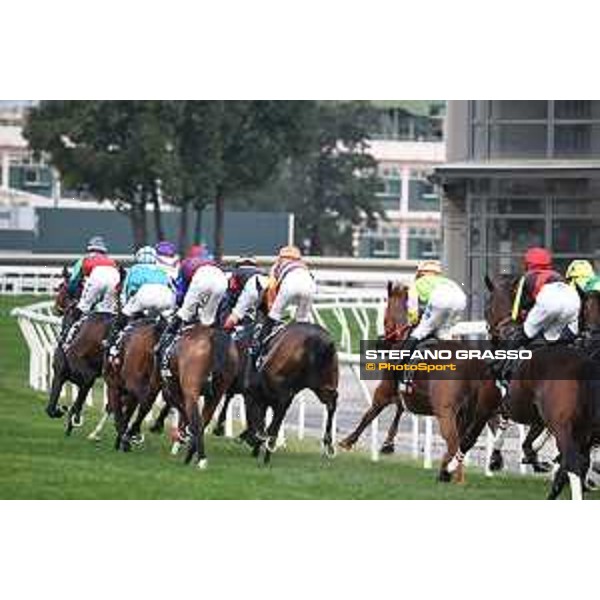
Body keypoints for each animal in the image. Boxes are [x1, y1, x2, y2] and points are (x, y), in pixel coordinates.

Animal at [159, 324, 239, 468]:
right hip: (216, 394)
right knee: (204, 421)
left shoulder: (171, 389)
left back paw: (200, 457)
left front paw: (182, 435)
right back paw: (192, 454)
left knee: (196, 420)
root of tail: (213, 337)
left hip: (191, 390)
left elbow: (183, 412)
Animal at [338, 282, 502, 482]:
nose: (379, 342)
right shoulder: (407, 393)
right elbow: (399, 408)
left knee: (454, 443)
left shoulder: (385, 390)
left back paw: (449, 474)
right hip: (472, 412)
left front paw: (348, 441)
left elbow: (370, 413)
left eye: (384, 317)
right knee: (468, 440)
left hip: (446, 412)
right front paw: (388, 444)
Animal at [482, 274, 600, 500]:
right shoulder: (540, 416)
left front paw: (495, 458)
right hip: (581, 428)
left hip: (564, 426)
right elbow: (529, 441)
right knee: (578, 461)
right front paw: (535, 459)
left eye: (487, 307)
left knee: (574, 463)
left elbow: (502, 422)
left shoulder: (510, 403)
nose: (491, 336)